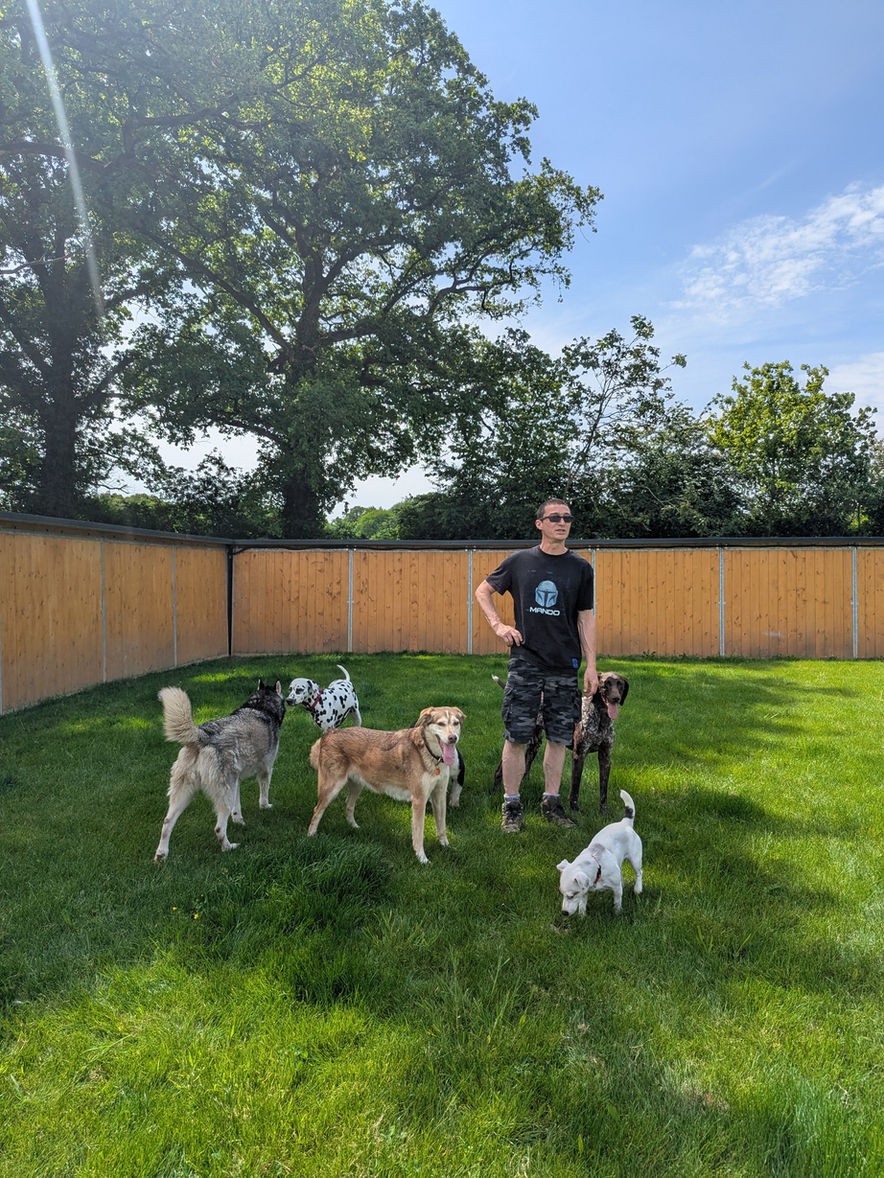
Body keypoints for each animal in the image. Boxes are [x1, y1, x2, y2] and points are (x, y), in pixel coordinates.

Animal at [154, 679, 286, 862]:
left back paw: (161, 855)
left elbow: (237, 808)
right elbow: (263, 795)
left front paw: (239, 822)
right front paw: (265, 807)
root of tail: (202, 735)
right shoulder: (266, 769)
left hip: (185, 793)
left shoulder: (236, 781)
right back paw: (229, 847)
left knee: (166, 822)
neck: (261, 706)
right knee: (218, 828)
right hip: (223, 795)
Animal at [307, 707, 465, 863]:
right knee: (317, 810)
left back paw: (354, 827)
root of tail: (329, 733)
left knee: (348, 805)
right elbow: (419, 834)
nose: (453, 738)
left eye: (456, 723)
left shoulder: (440, 796)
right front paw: (422, 859)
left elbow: (442, 825)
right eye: (441, 724)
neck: (430, 754)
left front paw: (445, 846)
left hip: (357, 785)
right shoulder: (419, 800)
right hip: (331, 789)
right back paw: (311, 836)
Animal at [569, 672, 630, 813]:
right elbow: (575, 786)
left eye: (620, 684)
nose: (616, 698)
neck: (601, 718)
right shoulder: (579, 756)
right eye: (605, 684)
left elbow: (603, 789)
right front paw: (574, 809)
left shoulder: (605, 757)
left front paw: (603, 811)